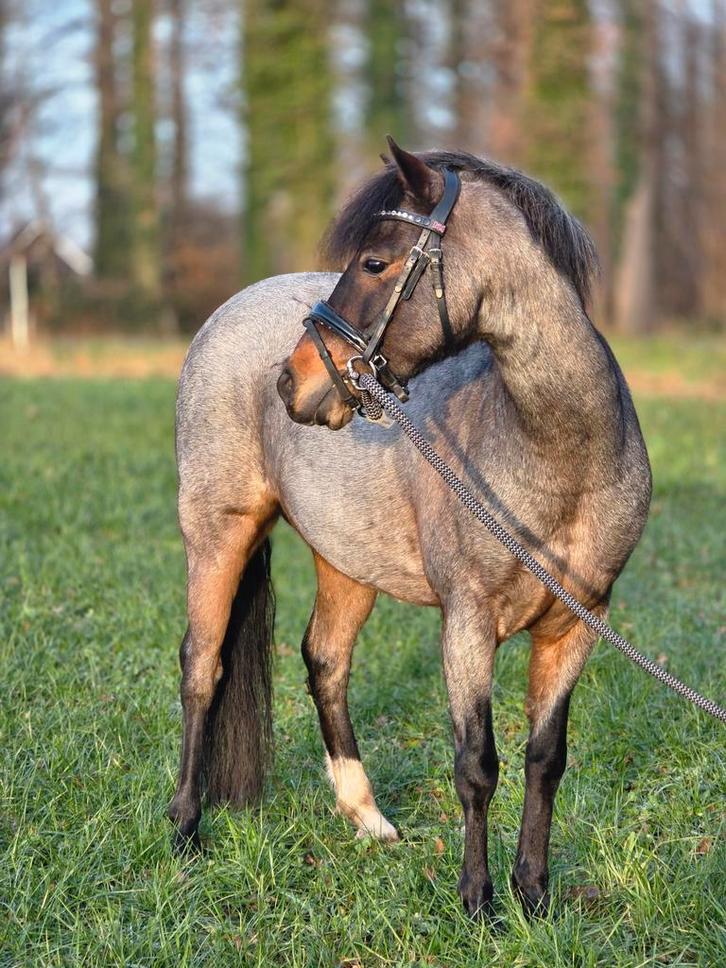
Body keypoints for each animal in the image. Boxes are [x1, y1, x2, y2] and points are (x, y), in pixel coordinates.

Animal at [168, 140, 652, 919]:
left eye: (374, 262)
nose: (295, 381)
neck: (559, 457)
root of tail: (230, 311)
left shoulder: (576, 627)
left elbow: (546, 759)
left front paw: (533, 893)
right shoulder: (468, 624)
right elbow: (477, 764)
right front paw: (479, 902)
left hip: (346, 562)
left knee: (325, 661)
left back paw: (367, 819)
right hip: (218, 532)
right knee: (202, 667)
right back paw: (185, 828)